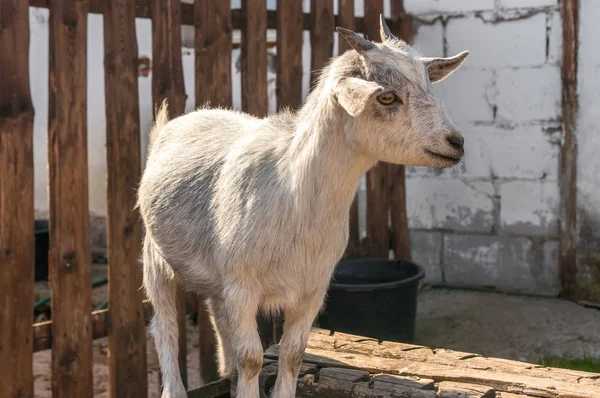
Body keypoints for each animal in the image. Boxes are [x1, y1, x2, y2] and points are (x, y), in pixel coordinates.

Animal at [139, 16, 468, 398]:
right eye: (386, 96)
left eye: (429, 85)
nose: (456, 142)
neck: (294, 196)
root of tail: (178, 121)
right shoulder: (243, 287)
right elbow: (252, 357)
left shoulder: (311, 289)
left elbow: (293, 354)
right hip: (155, 257)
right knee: (164, 326)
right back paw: (176, 387)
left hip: (219, 278)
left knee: (217, 318)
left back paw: (227, 374)